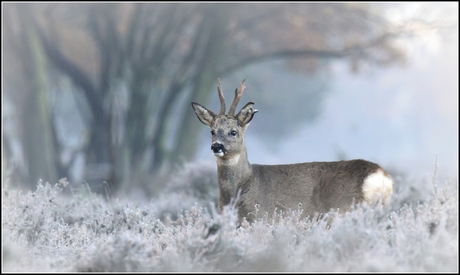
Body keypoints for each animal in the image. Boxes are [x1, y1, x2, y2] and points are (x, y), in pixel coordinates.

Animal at [190, 78, 392, 225]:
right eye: (212, 131)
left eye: (233, 132)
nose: (217, 146)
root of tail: (381, 176)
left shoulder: (261, 215)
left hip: (344, 209)